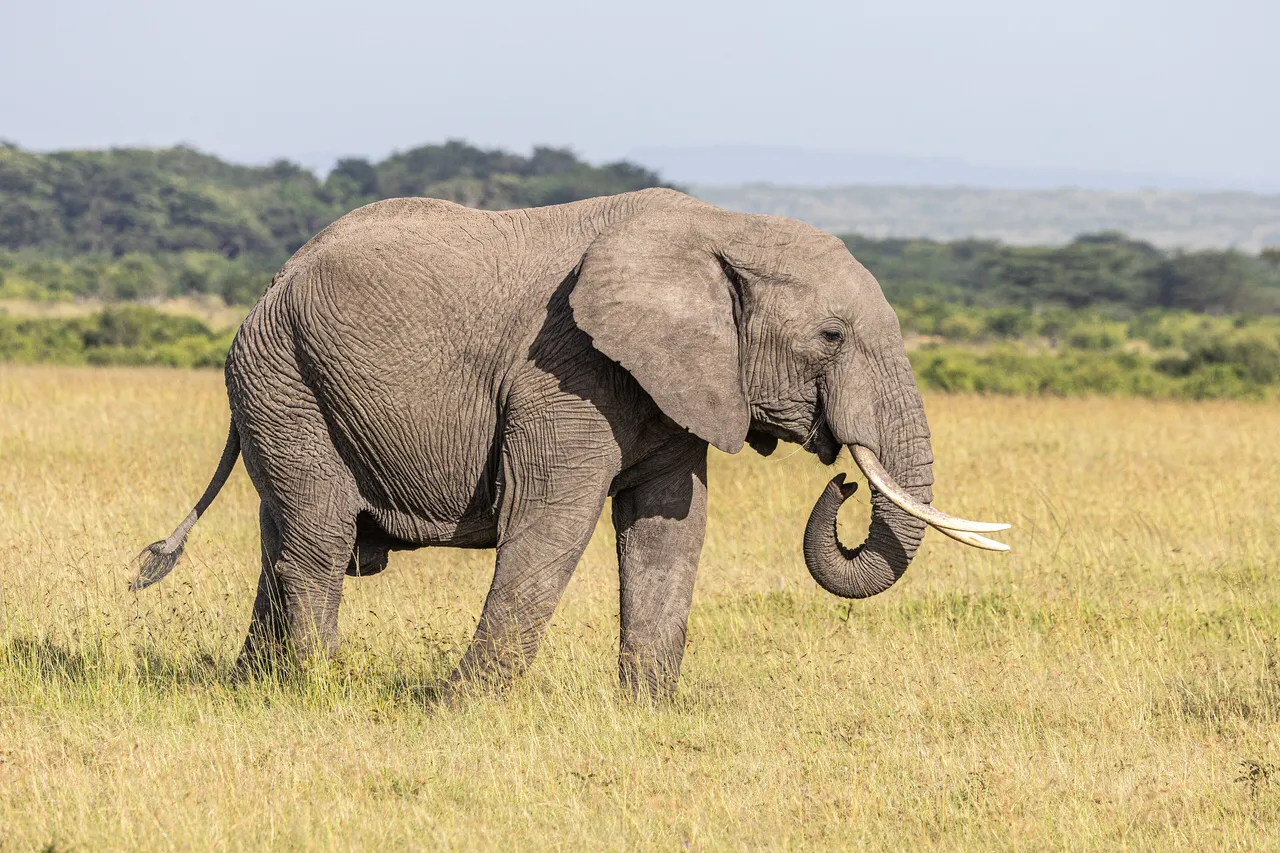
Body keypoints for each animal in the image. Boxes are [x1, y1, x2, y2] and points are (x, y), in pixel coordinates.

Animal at [133, 187, 1008, 698]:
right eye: (830, 335)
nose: (845, 482)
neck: (721, 227)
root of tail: (274, 278)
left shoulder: (674, 383)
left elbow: (668, 528)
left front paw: (649, 711)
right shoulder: (564, 369)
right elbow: (552, 521)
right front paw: (461, 706)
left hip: (286, 386)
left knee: (281, 535)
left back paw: (253, 689)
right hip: (283, 375)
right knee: (316, 539)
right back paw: (317, 688)